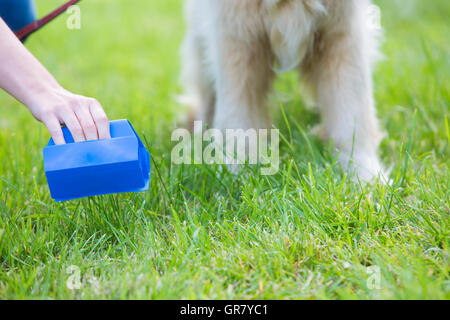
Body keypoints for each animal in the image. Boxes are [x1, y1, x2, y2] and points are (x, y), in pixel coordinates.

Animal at [181, 0, 384, 180]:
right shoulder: (237, 36)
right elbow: (239, 118)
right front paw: (239, 174)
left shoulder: (343, 32)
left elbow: (352, 116)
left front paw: (366, 178)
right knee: (207, 99)